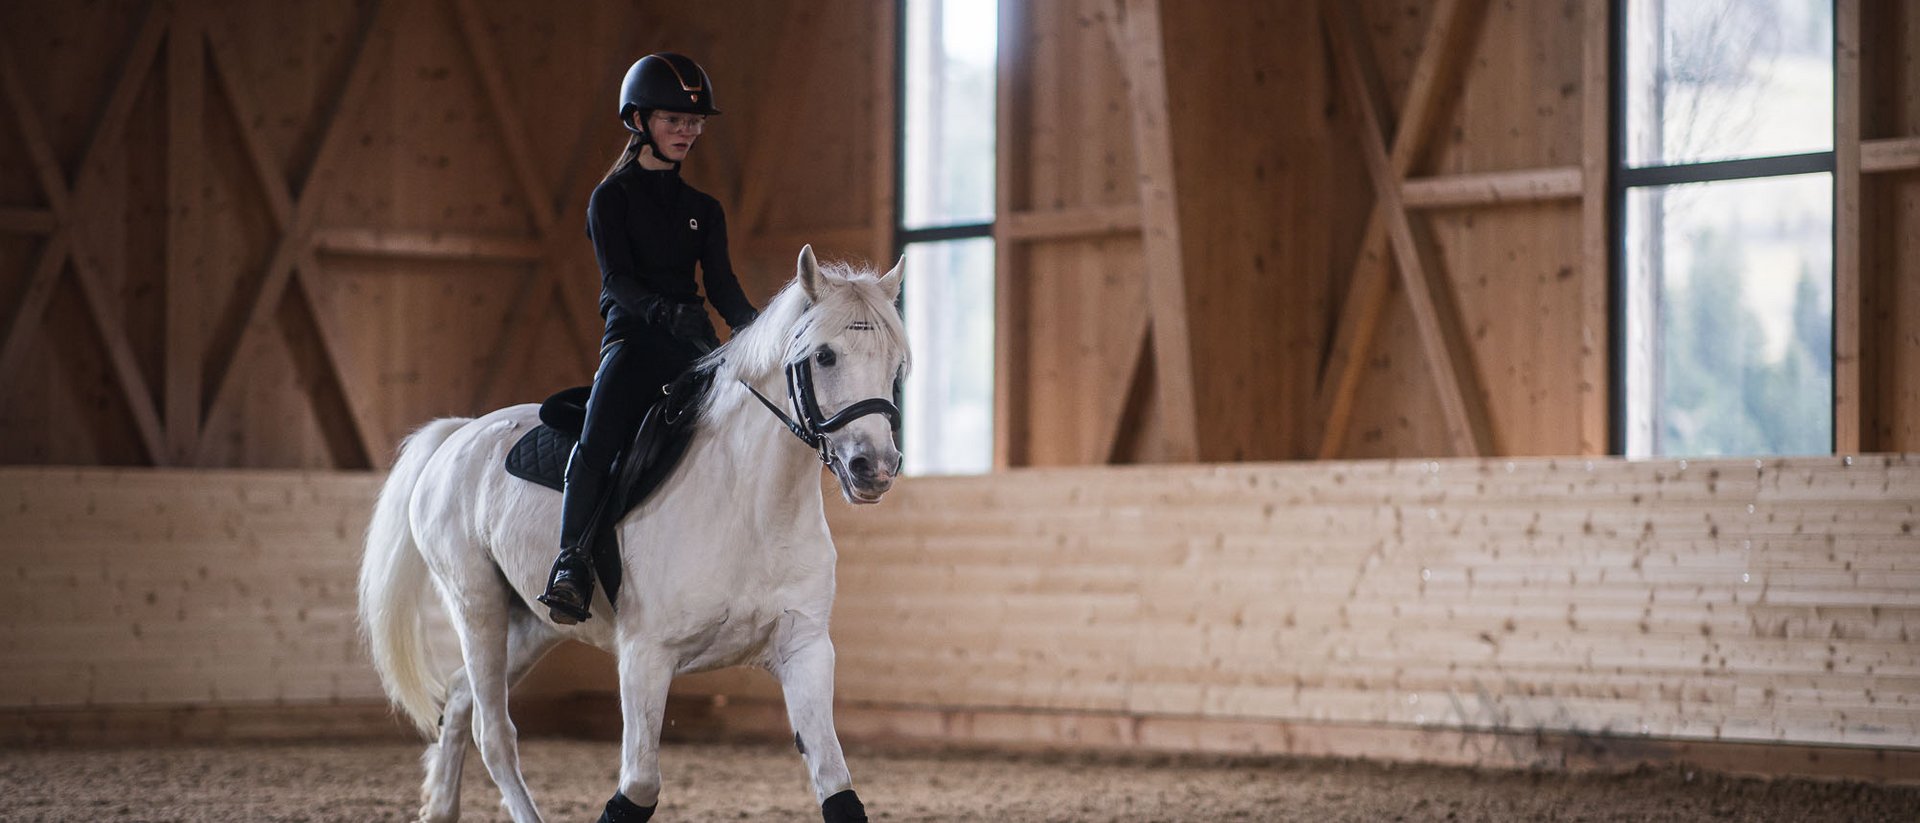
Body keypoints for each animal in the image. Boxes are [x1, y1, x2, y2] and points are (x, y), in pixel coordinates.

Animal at [357, 245, 907, 823]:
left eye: (896, 364)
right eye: (824, 356)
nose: (875, 468)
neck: (753, 507)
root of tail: (459, 434)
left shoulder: (805, 650)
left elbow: (837, 784)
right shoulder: (646, 658)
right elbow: (639, 786)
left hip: (531, 624)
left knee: (461, 698)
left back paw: (441, 807)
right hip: (477, 604)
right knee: (494, 732)